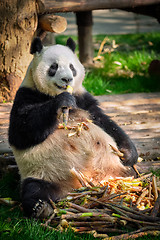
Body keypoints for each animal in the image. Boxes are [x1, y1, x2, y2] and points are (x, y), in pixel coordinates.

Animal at [8, 37, 138, 218]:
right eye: (54, 67)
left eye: (72, 67)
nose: (67, 79)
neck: (50, 94)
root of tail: (81, 186)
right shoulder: (26, 95)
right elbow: (21, 131)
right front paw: (61, 102)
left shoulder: (83, 99)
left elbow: (105, 122)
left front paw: (128, 153)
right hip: (43, 173)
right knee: (33, 189)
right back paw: (41, 208)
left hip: (117, 169)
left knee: (132, 174)